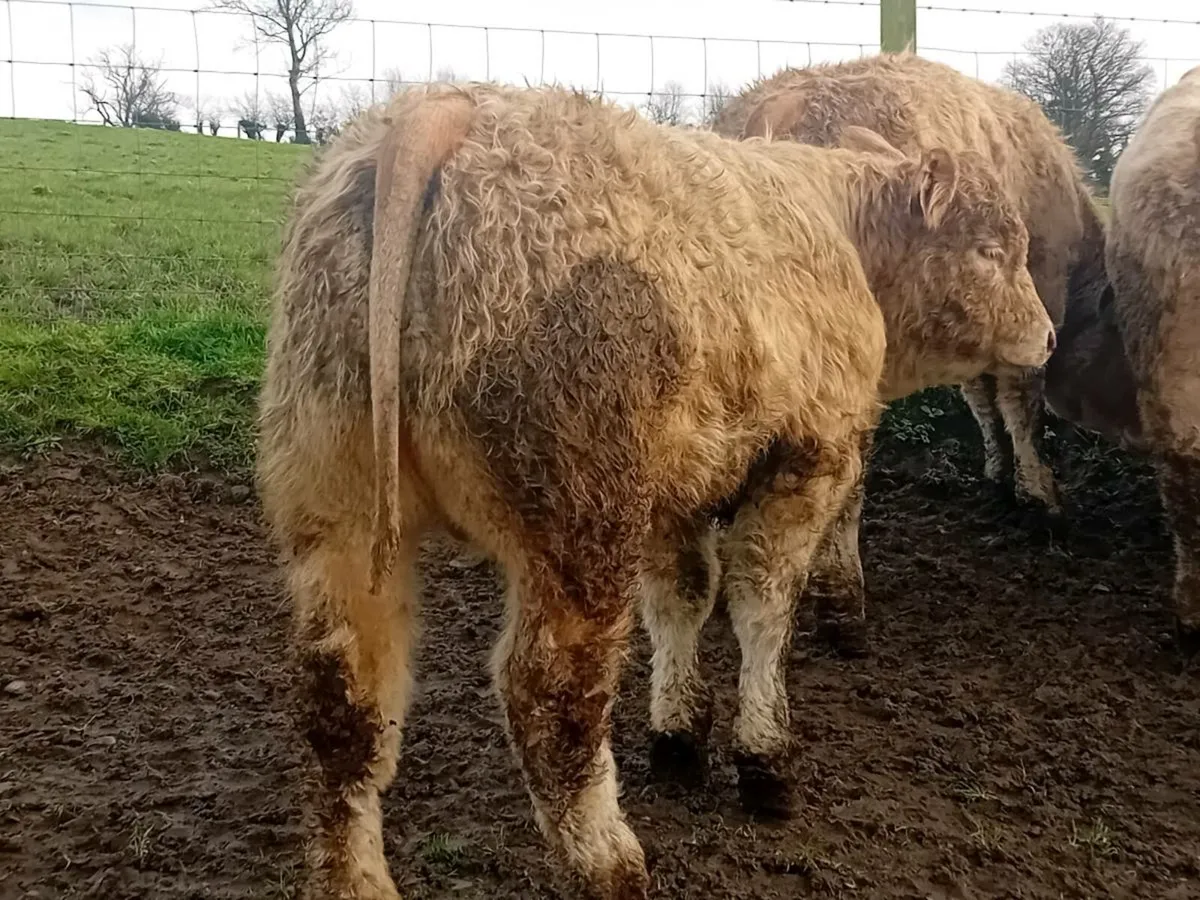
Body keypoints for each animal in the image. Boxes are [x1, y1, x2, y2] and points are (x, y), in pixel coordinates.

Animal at [256, 82, 1054, 899]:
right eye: (991, 251)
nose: (1050, 336)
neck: (840, 226)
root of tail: (446, 108)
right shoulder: (812, 456)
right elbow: (763, 601)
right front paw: (765, 756)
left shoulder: (682, 488)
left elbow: (683, 597)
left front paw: (678, 734)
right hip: (579, 527)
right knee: (547, 696)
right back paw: (613, 861)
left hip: (337, 512)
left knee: (345, 708)